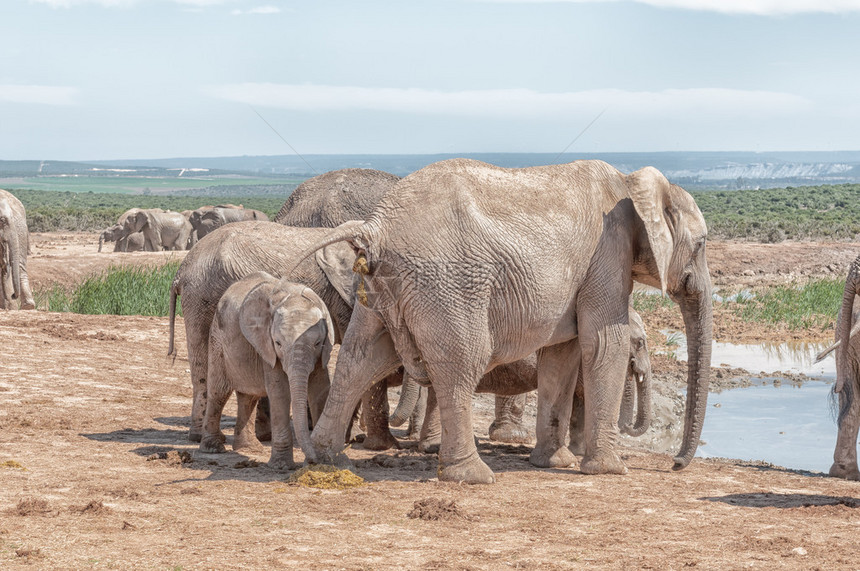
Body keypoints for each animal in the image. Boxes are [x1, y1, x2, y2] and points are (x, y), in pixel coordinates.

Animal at [201, 272, 332, 470]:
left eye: (317, 343)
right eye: (278, 343)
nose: (312, 460)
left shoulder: (321, 355)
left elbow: (320, 391)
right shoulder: (267, 348)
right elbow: (280, 392)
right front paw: (281, 466)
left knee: (249, 397)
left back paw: (249, 448)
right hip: (217, 339)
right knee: (219, 392)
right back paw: (213, 448)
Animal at [296, 159, 712, 484]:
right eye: (703, 243)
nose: (675, 465)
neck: (632, 184)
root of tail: (375, 227)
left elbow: (562, 355)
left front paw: (555, 463)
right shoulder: (608, 256)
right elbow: (605, 343)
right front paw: (611, 471)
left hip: (380, 287)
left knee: (361, 356)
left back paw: (325, 458)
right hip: (447, 283)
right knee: (462, 362)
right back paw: (472, 476)